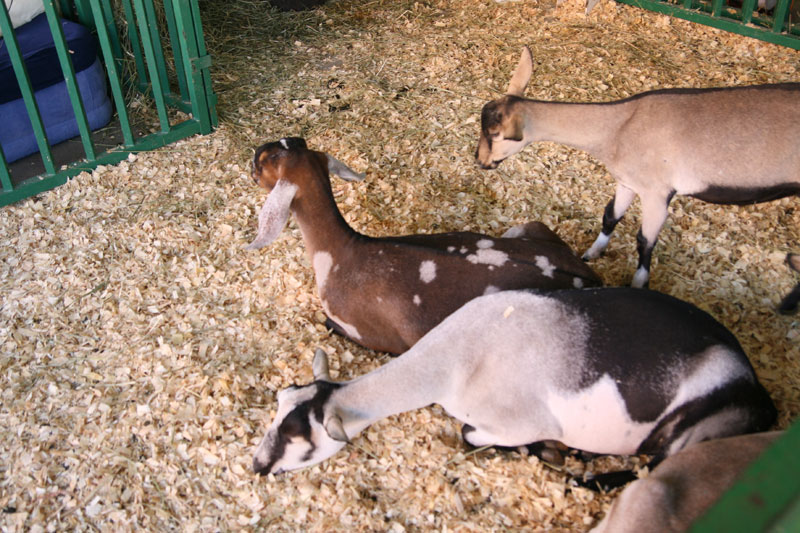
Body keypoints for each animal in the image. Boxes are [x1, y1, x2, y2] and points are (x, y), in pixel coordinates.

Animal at [244, 137, 600, 354]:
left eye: (267, 160)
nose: (253, 156)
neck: (338, 254)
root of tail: (591, 279)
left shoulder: (367, 332)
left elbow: (327, 323)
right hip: (530, 228)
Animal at [252, 288, 776, 476]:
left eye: (301, 437)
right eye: (279, 401)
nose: (258, 465)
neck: (461, 356)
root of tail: (757, 391)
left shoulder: (511, 421)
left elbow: (469, 434)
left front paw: (545, 449)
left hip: (692, 429)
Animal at [476, 47, 800, 310]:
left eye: (495, 134)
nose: (481, 162)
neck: (619, 128)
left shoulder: (657, 192)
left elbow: (645, 241)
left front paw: (639, 284)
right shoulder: (628, 182)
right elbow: (610, 216)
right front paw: (590, 254)